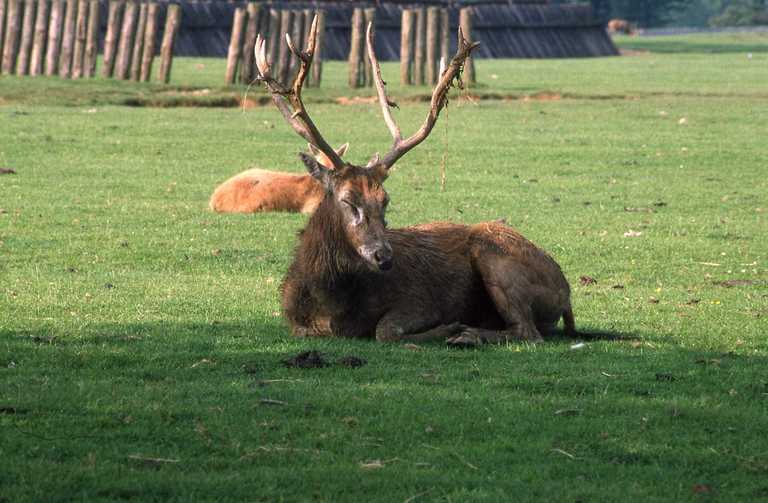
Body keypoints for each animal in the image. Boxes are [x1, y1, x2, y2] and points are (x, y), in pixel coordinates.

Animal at [252, 16, 576, 346]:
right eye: (347, 200)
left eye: (385, 200)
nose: (383, 256)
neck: (331, 309)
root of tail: (566, 295)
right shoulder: (295, 322)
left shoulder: (421, 300)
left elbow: (385, 330)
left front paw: (449, 327)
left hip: (494, 252)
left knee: (528, 332)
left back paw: (467, 335)